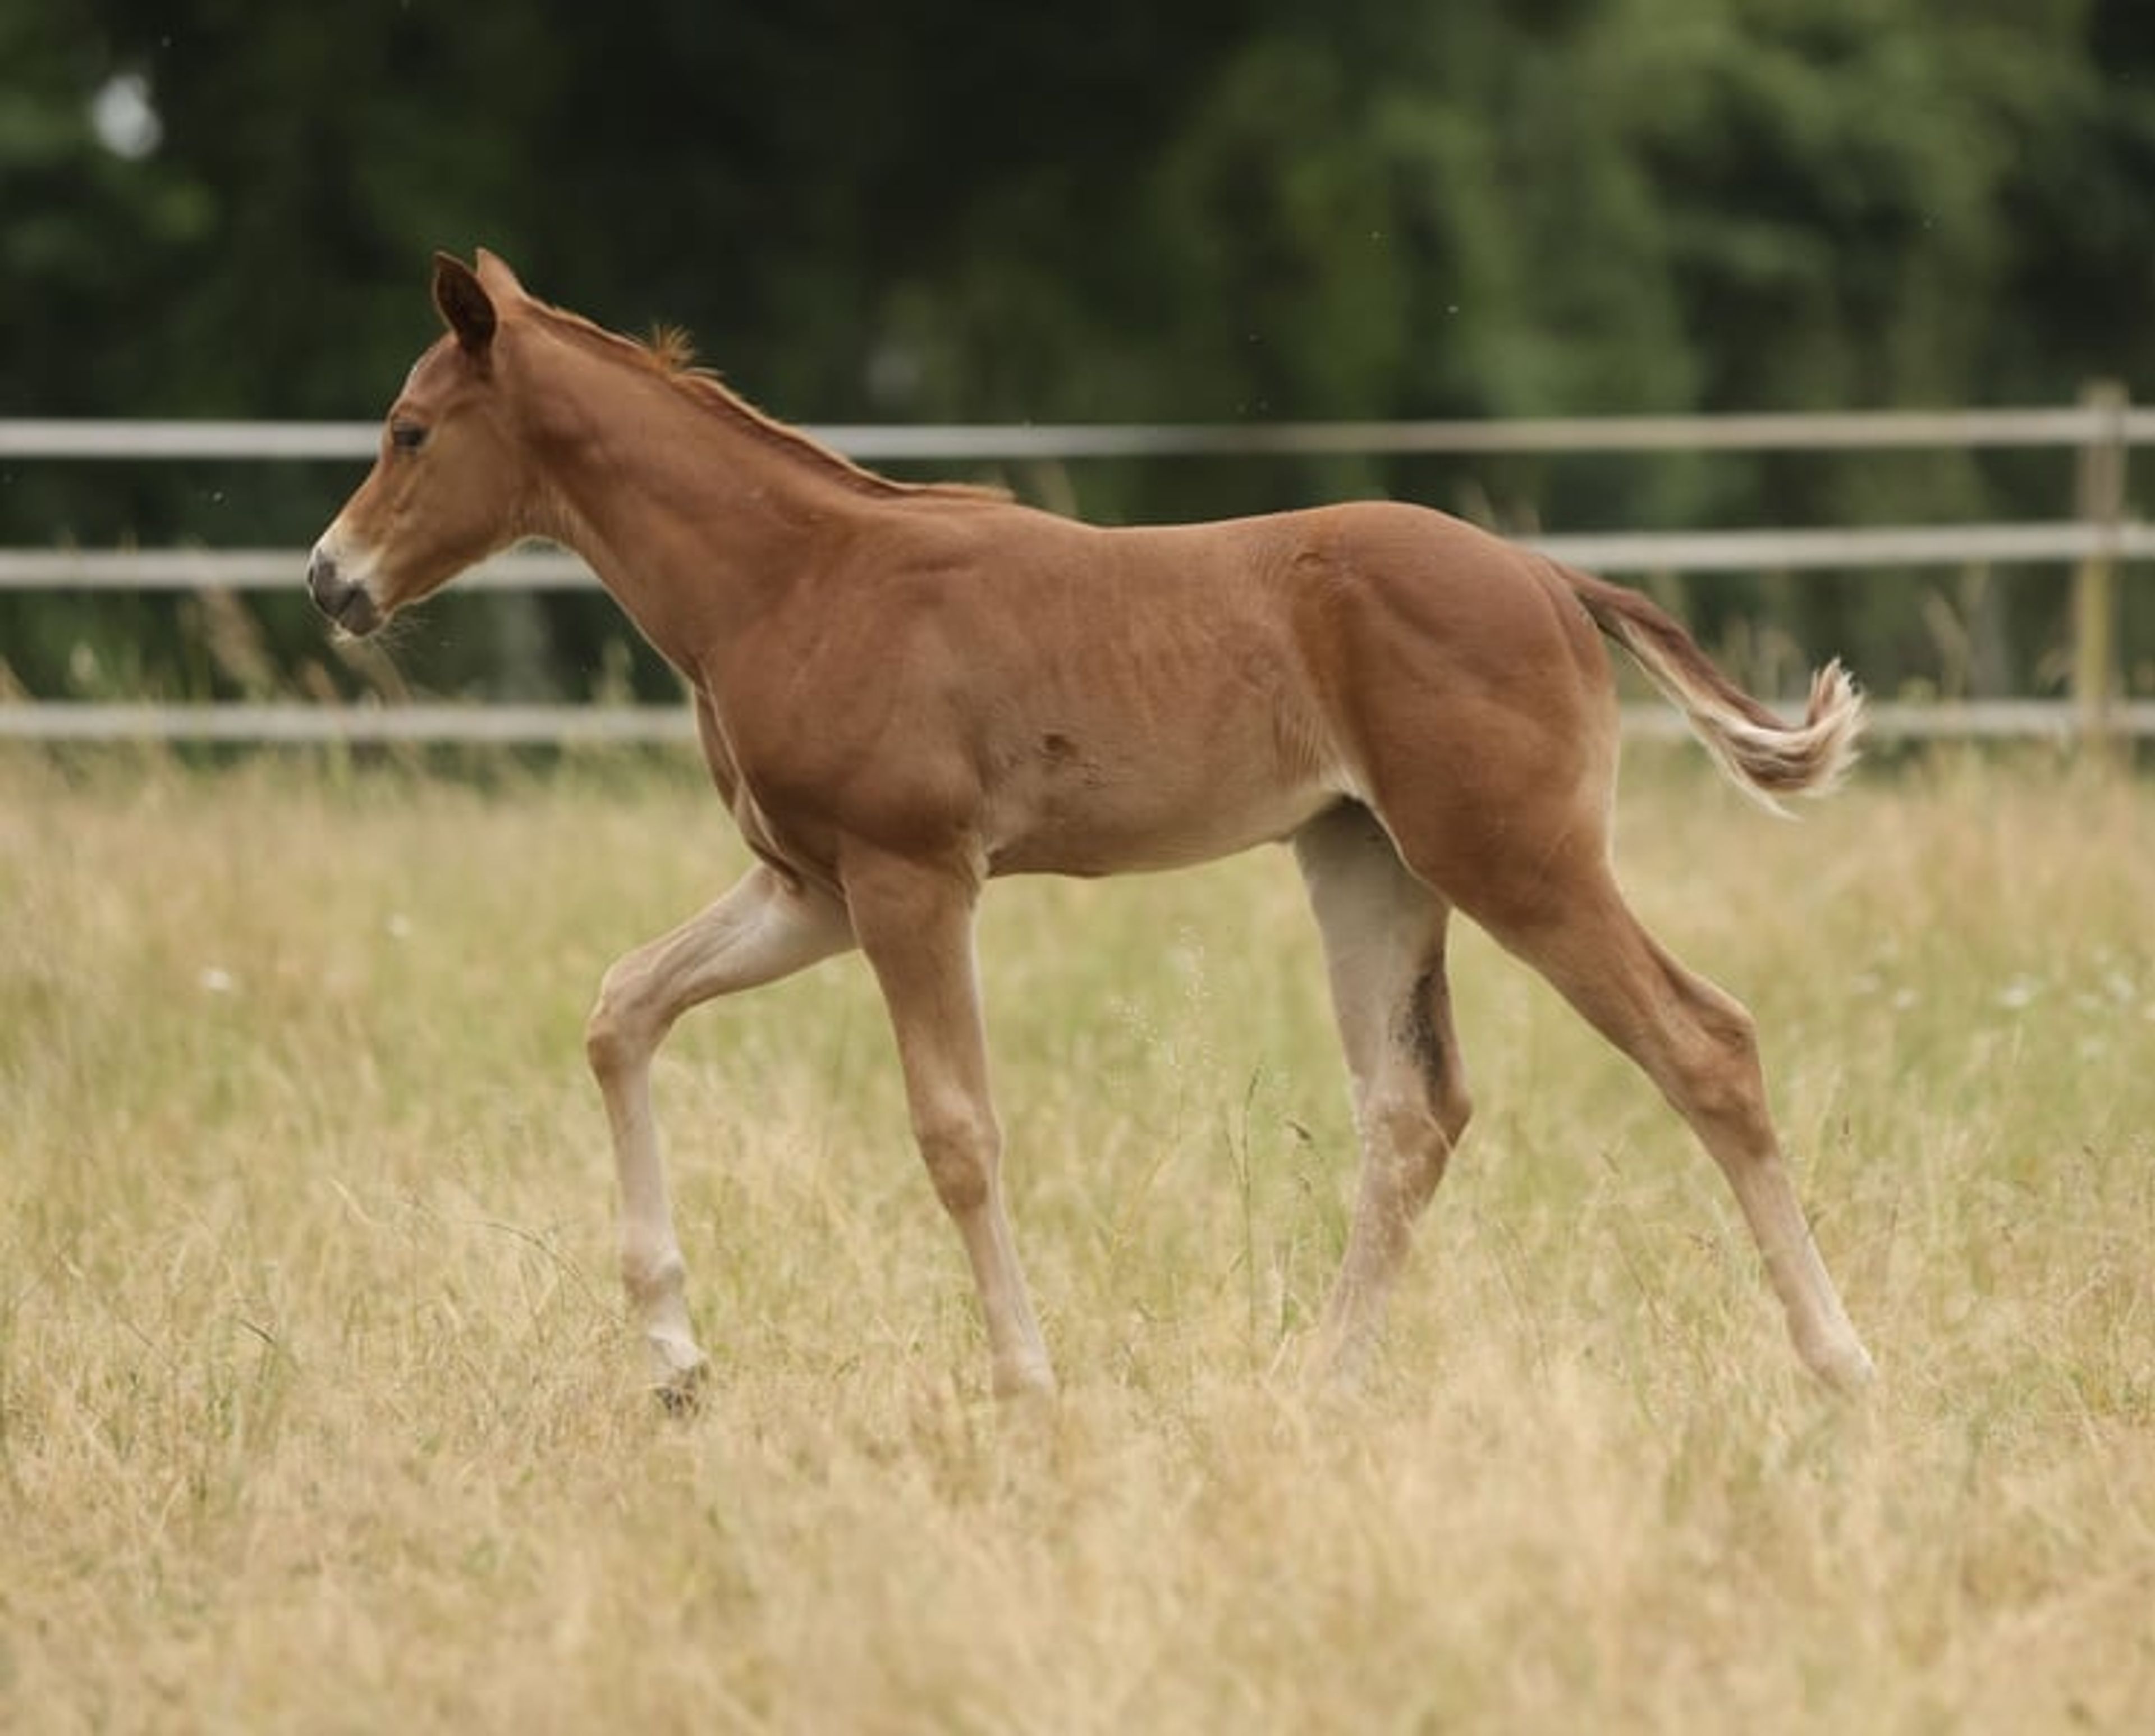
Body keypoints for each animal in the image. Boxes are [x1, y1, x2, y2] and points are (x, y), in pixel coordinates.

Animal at [309, 250, 1875, 1404]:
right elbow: (623, 1006)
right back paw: (1320, 1383)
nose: (331, 578)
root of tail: (1553, 579)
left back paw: (1838, 1361)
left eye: (407, 431)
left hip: (1513, 859)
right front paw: (677, 1363)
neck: (791, 579)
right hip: (1364, 860)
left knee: (1703, 1043)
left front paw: (1024, 1377)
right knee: (1410, 1113)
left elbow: (955, 1130)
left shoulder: (910, 876)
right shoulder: (808, 885)